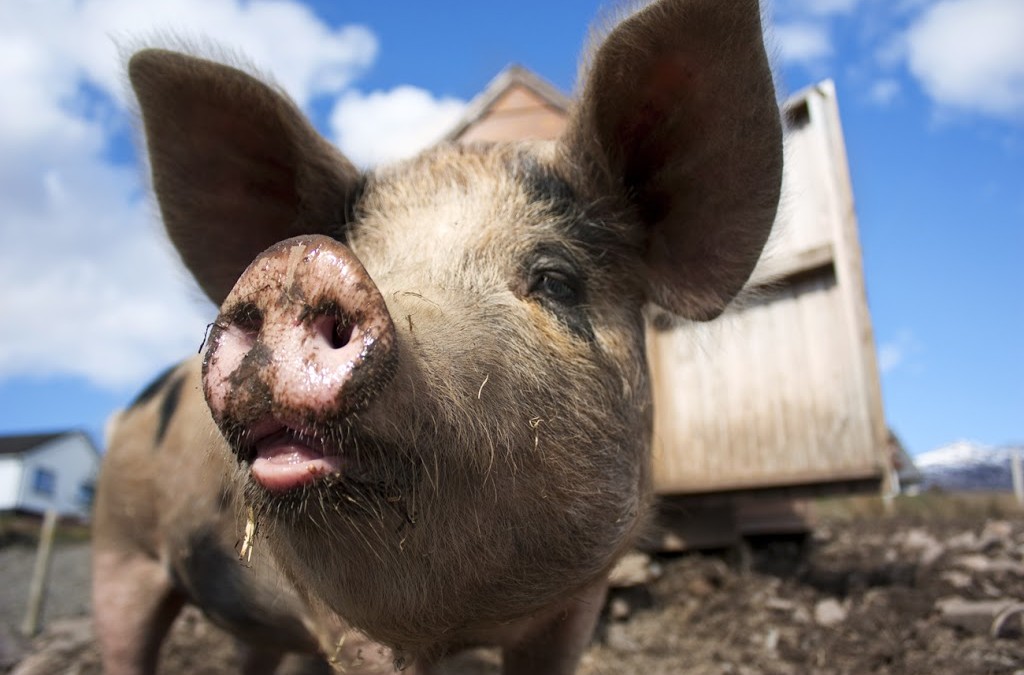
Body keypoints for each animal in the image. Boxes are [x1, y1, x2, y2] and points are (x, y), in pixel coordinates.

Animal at [94, 0, 782, 671]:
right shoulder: (346, 627)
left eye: (556, 279)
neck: (479, 623)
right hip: (117, 552)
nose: (294, 264)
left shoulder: (576, 610)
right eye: (363, 253)